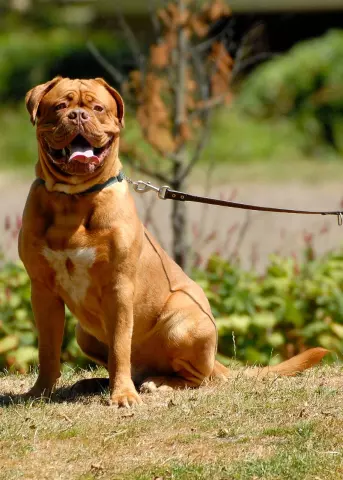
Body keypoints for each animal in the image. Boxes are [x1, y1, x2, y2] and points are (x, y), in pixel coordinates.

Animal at [20, 77, 330, 406]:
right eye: (60, 106)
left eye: (98, 108)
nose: (78, 115)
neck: (74, 200)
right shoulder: (42, 290)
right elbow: (48, 349)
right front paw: (40, 392)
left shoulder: (118, 287)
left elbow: (119, 347)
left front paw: (123, 396)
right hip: (84, 333)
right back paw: (96, 382)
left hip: (184, 324)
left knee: (195, 377)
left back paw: (160, 383)